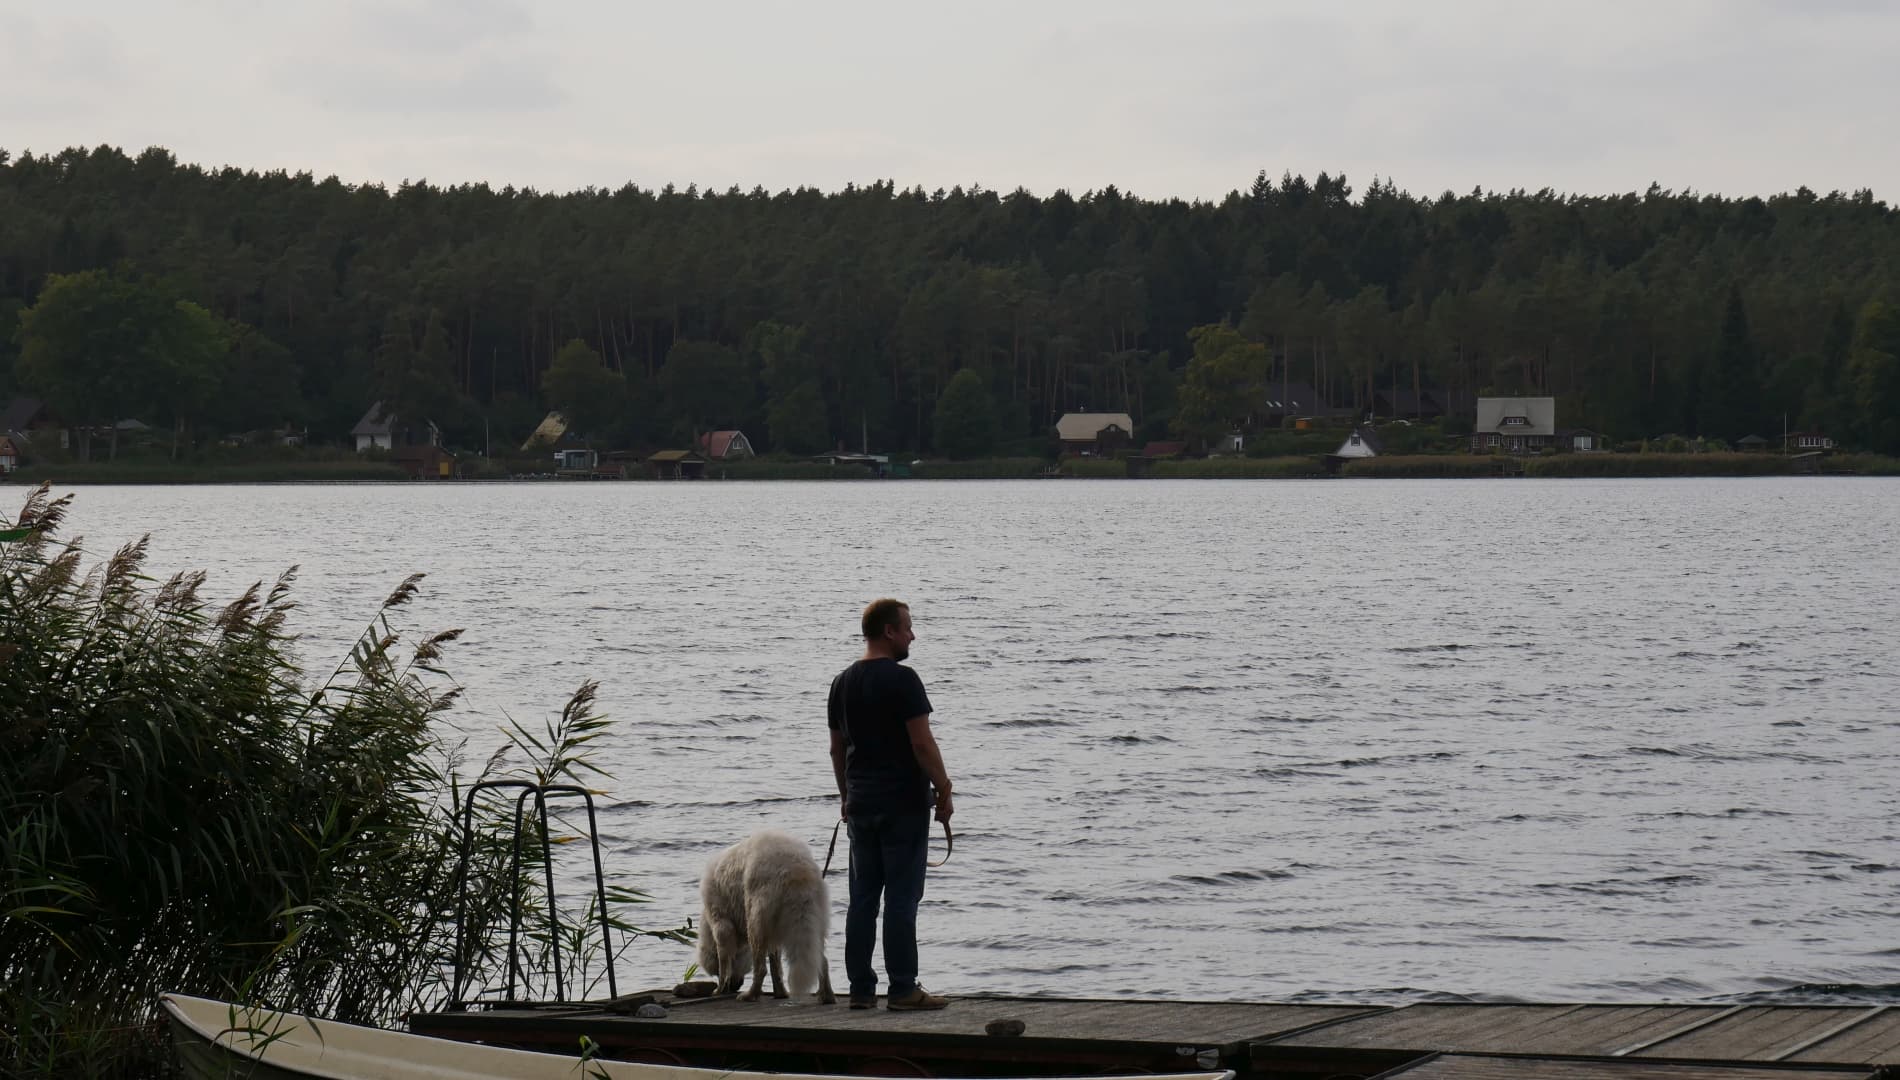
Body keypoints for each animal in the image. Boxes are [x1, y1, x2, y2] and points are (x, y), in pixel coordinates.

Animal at [703, 825, 836, 1003]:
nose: (737, 985)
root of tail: (795, 868)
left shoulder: (720, 920)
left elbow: (724, 959)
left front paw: (719, 989)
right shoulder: (773, 929)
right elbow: (775, 964)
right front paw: (780, 992)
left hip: (756, 913)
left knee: (760, 967)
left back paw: (750, 994)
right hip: (815, 912)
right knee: (822, 960)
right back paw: (827, 996)